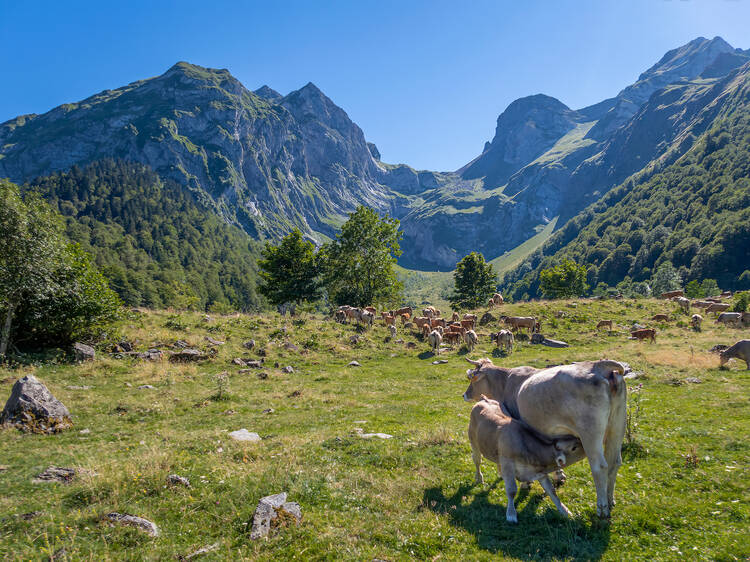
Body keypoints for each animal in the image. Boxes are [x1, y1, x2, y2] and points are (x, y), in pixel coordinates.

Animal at [464, 356, 628, 520]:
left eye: (472, 379)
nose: (464, 395)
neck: (506, 382)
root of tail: (599, 365)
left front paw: (526, 484)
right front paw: (559, 476)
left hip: (590, 433)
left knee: (599, 467)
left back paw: (602, 508)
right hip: (617, 427)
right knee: (615, 462)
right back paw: (610, 500)